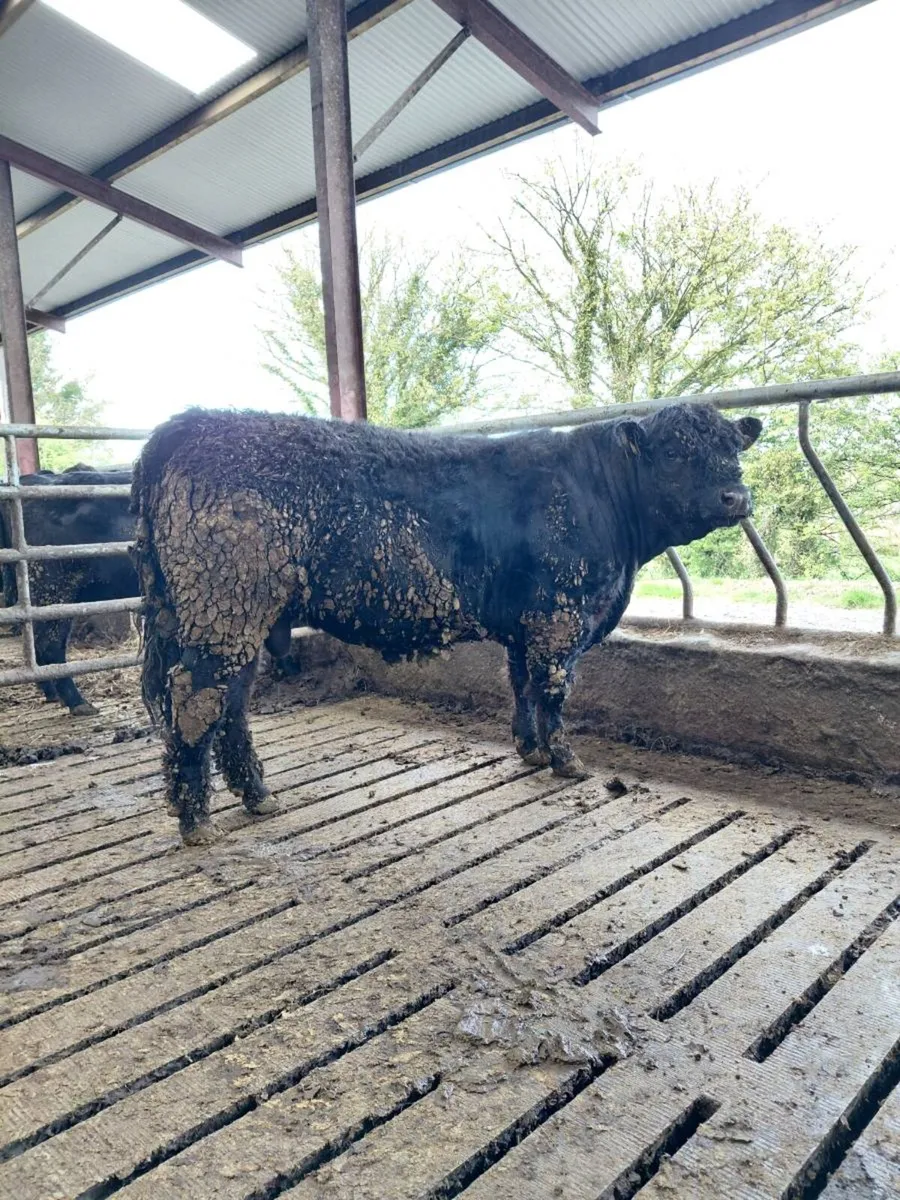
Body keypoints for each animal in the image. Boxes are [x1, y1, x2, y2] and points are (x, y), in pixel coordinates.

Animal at [131, 402, 762, 845]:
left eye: (733, 448)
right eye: (674, 453)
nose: (736, 496)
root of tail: (192, 421)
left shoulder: (526, 623)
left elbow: (522, 684)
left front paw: (530, 750)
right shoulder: (560, 617)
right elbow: (554, 689)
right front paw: (566, 761)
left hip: (236, 618)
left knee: (231, 704)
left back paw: (257, 795)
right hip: (226, 610)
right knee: (197, 699)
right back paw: (197, 821)